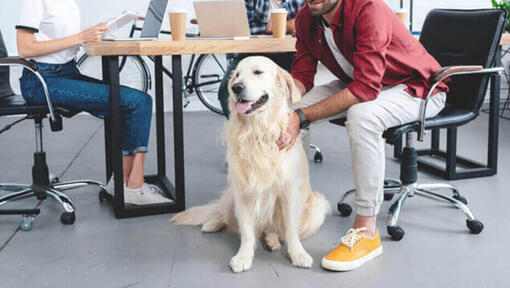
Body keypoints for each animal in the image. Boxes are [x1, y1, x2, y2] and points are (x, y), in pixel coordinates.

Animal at [171, 55, 330, 272]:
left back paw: (272, 239)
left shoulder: (289, 192)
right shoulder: (243, 191)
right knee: (223, 214)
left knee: (274, 229)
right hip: (231, 196)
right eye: (237, 74)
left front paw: (298, 254)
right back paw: (213, 224)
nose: (236, 87)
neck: (257, 131)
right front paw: (243, 257)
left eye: (258, 72)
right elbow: (246, 231)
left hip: (317, 205)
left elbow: (290, 230)